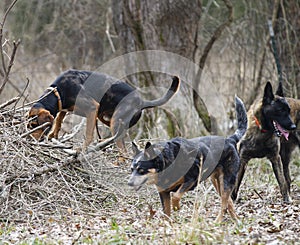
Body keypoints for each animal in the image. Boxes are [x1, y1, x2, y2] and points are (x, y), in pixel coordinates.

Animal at [27, 69, 179, 149]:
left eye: (35, 125)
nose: (29, 140)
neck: (58, 91)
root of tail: (141, 101)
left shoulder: (92, 108)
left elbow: (88, 134)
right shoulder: (64, 107)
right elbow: (59, 119)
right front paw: (53, 135)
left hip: (114, 121)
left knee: (123, 150)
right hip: (106, 118)